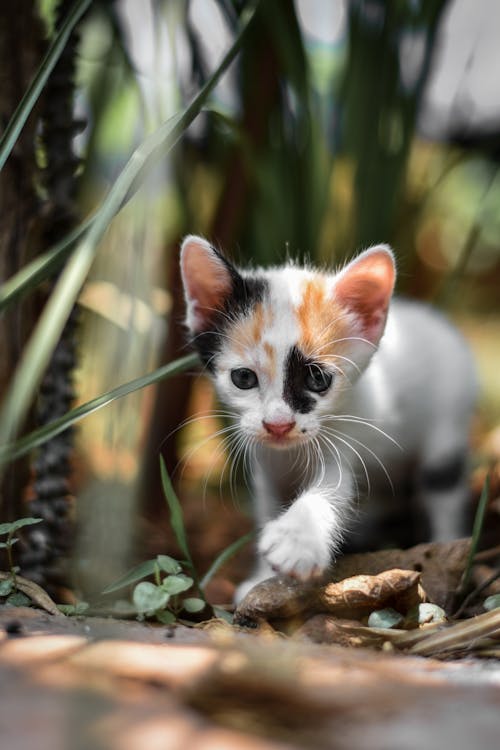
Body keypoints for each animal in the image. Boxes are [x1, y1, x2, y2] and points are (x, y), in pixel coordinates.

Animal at [180, 238, 476, 604]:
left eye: (317, 379)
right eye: (243, 378)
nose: (278, 425)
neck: (288, 454)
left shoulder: (340, 442)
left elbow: (332, 488)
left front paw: (297, 539)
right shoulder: (266, 469)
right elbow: (268, 507)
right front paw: (262, 579)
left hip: (448, 424)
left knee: (443, 487)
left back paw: (446, 548)